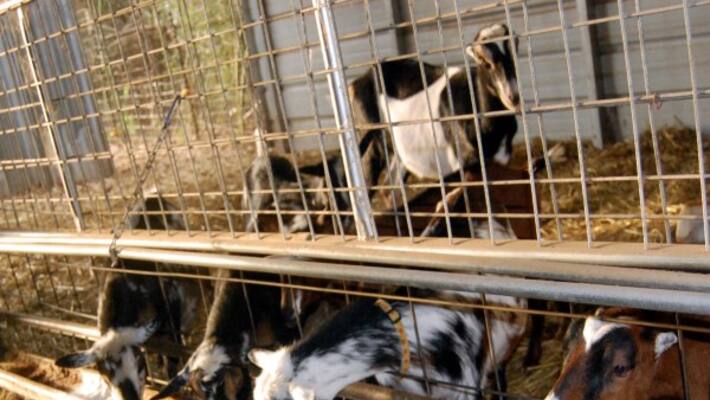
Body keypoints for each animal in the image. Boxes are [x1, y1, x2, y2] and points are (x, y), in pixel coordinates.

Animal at [352, 23, 524, 183]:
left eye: (514, 58)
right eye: (485, 63)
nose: (513, 97)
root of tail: (357, 82)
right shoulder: (464, 160)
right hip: (370, 147)